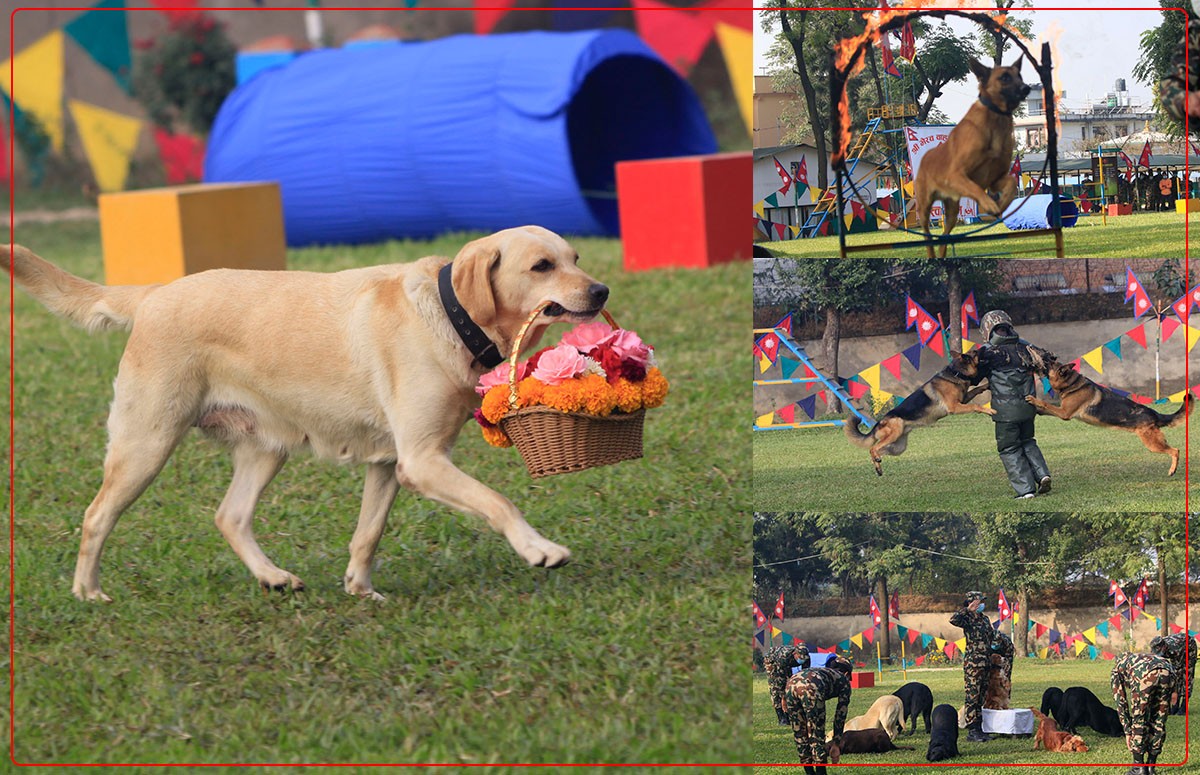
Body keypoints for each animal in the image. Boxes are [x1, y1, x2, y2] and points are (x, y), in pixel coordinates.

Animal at [7, 227, 609, 604]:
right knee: (96, 516)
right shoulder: (422, 459)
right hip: (146, 444)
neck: (452, 314)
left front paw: (360, 589)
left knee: (229, 516)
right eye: (542, 266)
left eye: (576, 258)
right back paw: (88, 592)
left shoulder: (391, 465)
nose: (602, 289)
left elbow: (368, 534)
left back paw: (272, 577)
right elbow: (498, 502)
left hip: (264, 448)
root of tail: (155, 293)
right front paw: (539, 549)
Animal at [844, 350, 993, 472]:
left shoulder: (963, 400)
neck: (957, 372)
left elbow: (976, 389)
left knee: (877, 451)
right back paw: (876, 461)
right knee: (872, 448)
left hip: (898, 447)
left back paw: (878, 467)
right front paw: (990, 410)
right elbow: (975, 406)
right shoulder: (955, 407)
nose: (986, 348)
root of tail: (878, 423)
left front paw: (987, 385)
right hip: (894, 433)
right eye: (976, 352)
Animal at [1027, 362, 1195, 477]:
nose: (1034, 364)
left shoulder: (1064, 413)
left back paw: (1172, 470)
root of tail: (1155, 413)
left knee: (1175, 450)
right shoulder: (1063, 412)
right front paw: (1036, 410)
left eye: (1049, 362)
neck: (1071, 383)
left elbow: (1046, 404)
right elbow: (1046, 410)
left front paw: (1034, 400)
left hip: (1152, 443)